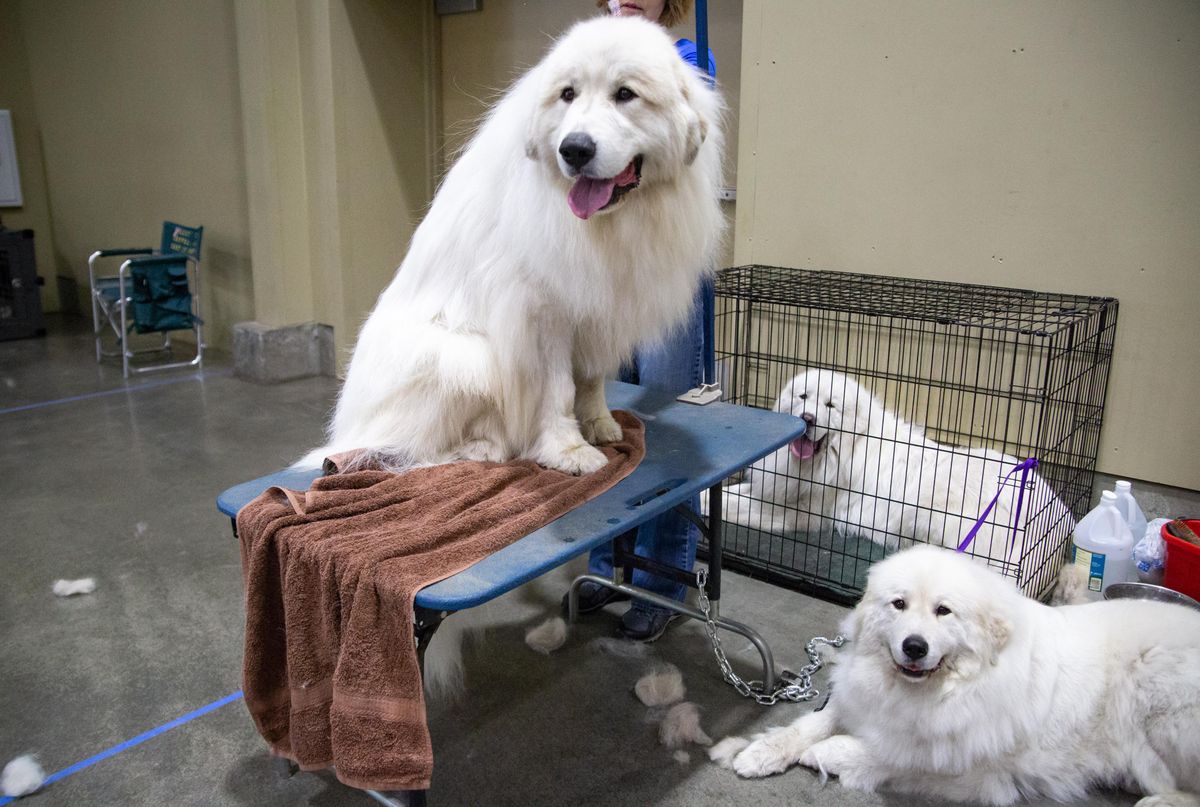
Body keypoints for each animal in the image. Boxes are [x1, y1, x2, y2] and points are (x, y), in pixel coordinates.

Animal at [298, 14, 720, 473]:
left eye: (625, 94)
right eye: (568, 94)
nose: (574, 149)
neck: (609, 223)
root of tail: (349, 426)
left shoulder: (598, 310)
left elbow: (590, 381)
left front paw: (599, 424)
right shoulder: (542, 315)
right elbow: (558, 390)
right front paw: (568, 450)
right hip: (458, 358)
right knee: (403, 447)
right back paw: (482, 447)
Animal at [710, 545, 1200, 802]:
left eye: (943, 611)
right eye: (899, 604)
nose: (914, 646)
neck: (937, 689)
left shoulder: (970, 765)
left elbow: (890, 754)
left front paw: (826, 755)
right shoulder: (860, 699)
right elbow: (808, 724)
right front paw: (760, 752)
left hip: (1159, 698)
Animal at [715, 369, 1075, 564]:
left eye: (830, 405)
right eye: (803, 396)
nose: (807, 418)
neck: (840, 450)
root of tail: (1057, 516)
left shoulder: (802, 514)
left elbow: (736, 507)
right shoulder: (776, 489)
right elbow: (737, 492)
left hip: (931, 511)